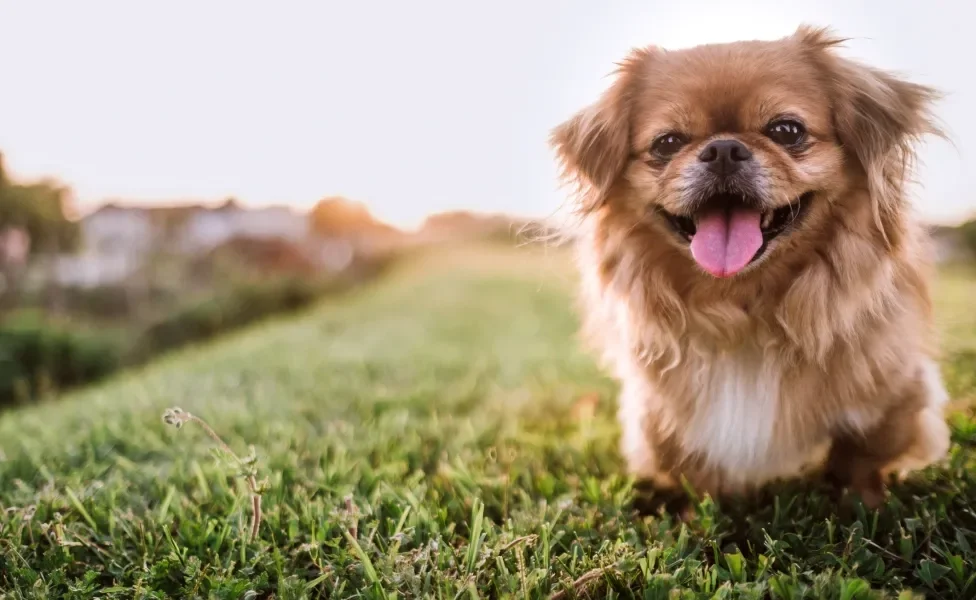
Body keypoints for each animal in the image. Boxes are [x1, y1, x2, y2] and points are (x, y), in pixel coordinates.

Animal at [552, 25, 948, 508]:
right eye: (667, 143)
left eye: (786, 130)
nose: (723, 148)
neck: (744, 306)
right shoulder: (664, 415)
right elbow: (692, 470)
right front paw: (695, 514)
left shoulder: (893, 392)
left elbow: (861, 459)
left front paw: (864, 506)